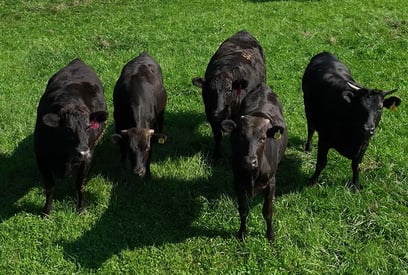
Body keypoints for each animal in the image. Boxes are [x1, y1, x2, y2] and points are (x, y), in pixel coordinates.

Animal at [34, 58, 108, 218]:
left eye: (88, 127)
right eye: (67, 129)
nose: (83, 152)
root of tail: (78, 61)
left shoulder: (87, 158)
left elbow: (80, 185)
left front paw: (81, 208)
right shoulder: (41, 158)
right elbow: (50, 187)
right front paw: (47, 211)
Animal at [193, 29, 266, 160]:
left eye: (228, 90)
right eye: (209, 90)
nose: (217, 113)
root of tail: (244, 32)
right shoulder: (209, 113)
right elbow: (217, 136)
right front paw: (216, 155)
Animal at [220, 83, 286, 243]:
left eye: (263, 138)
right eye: (240, 136)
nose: (250, 161)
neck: (253, 175)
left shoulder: (271, 182)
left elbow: (267, 212)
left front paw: (270, 235)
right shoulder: (237, 182)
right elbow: (243, 210)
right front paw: (242, 233)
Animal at [302, 51, 402, 192]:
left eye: (380, 107)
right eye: (359, 106)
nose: (368, 128)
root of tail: (324, 53)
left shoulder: (364, 145)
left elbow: (356, 166)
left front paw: (356, 186)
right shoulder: (324, 139)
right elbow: (321, 163)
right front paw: (312, 182)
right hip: (308, 109)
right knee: (311, 128)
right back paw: (308, 148)